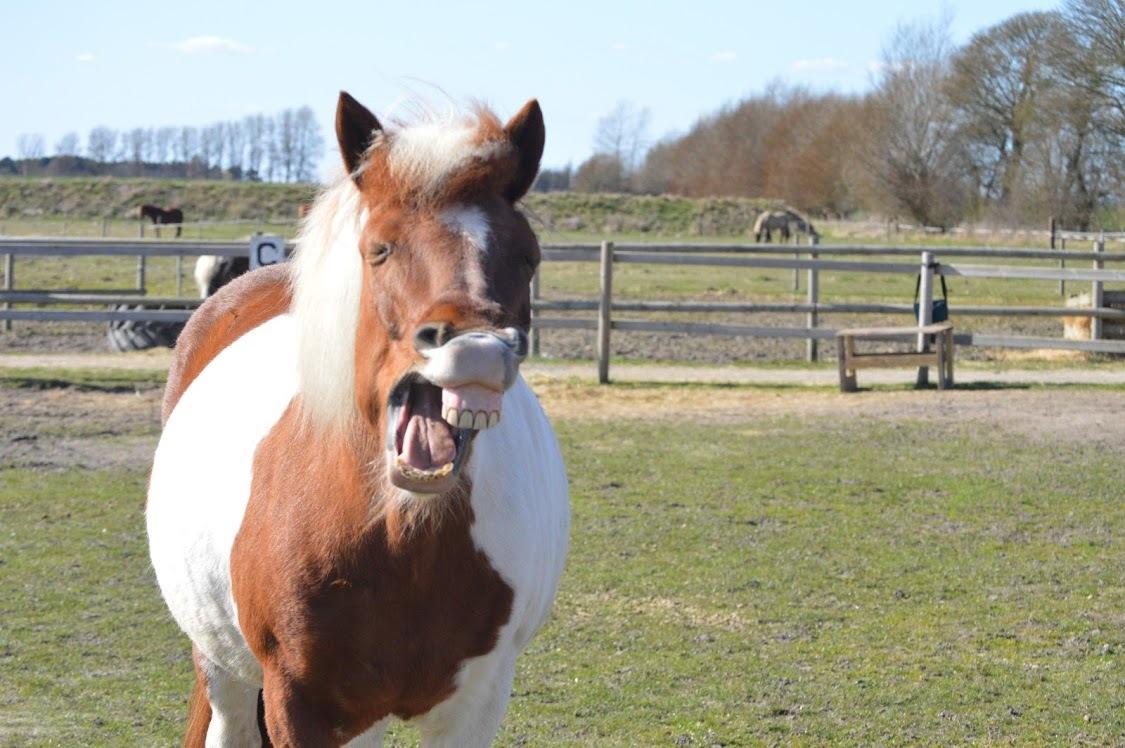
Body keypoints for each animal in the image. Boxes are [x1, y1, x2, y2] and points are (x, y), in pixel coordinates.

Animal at [147, 90, 571, 742]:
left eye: (528, 256)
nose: (476, 349)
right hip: (224, 664)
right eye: (380, 249)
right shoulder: (301, 703)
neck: (402, 538)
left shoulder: (476, 703)